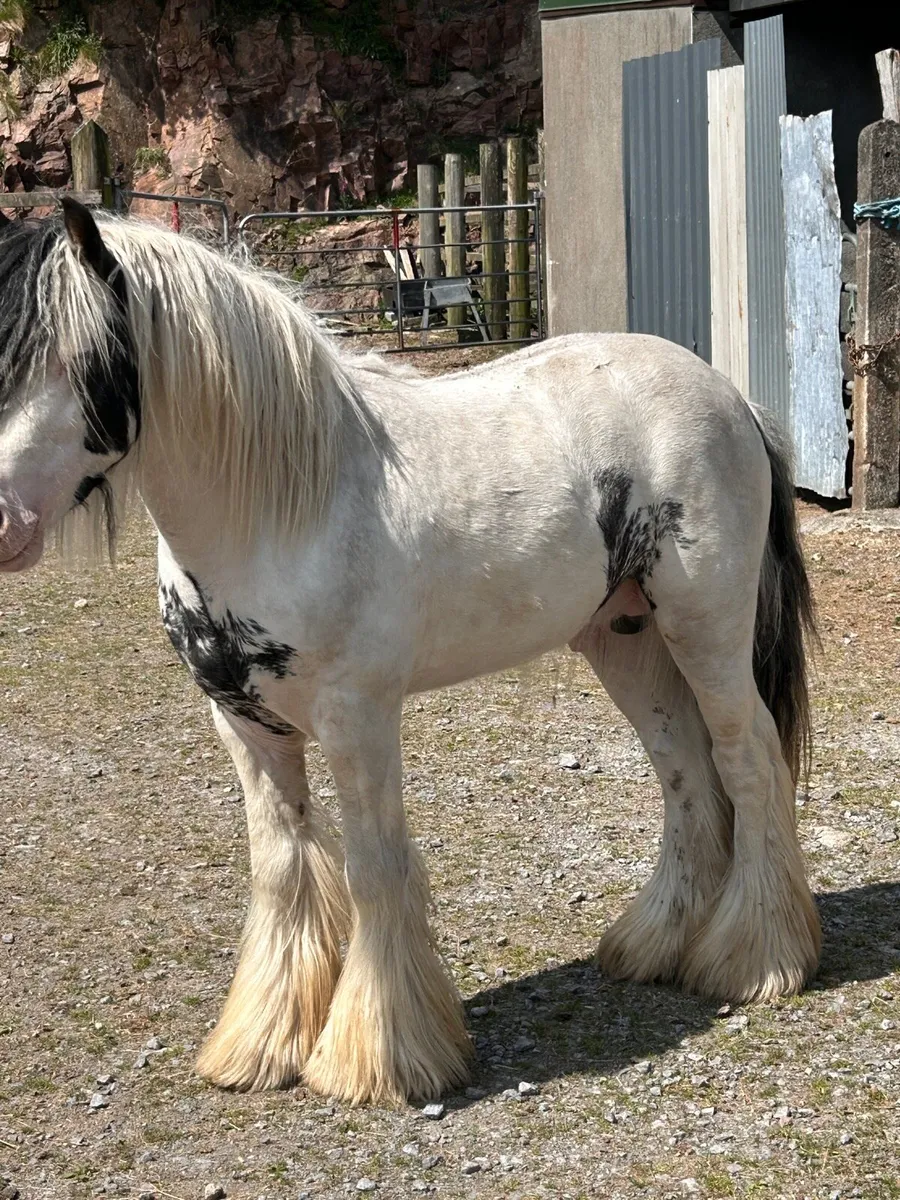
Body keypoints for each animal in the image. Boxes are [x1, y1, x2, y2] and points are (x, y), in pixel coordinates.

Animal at [0, 199, 820, 1107]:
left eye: (88, 360)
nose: (5, 524)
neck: (289, 507)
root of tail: (731, 397)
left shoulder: (358, 722)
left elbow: (375, 870)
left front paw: (378, 1058)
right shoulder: (244, 727)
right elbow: (282, 870)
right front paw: (261, 1045)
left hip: (706, 630)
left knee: (748, 761)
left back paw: (757, 961)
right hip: (625, 643)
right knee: (686, 779)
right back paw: (654, 947)